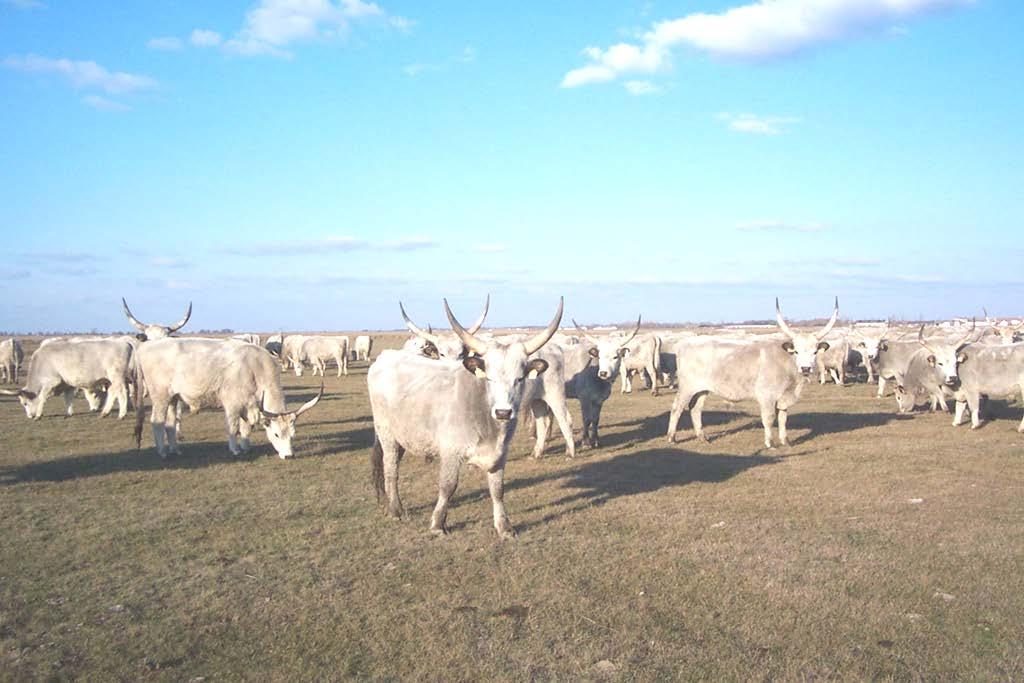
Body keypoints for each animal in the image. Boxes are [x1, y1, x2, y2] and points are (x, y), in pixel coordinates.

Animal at [0, 339, 134, 419]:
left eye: (25, 403)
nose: (29, 416)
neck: (41, 362)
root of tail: (124, 343)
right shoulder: (68, 384)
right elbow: (68, 398)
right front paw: (69, 413)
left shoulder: (50, 382)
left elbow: (42, 397)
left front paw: (38, 415)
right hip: (113, 379)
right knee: (114, 392)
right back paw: (105, 413)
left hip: (116, 377)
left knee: (121, 392)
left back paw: (121, 414)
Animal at [134, 335, 321, 458]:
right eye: (276, 434)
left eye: (293, 434)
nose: (289, 455)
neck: (255, 367)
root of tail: (145, 347)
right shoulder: (232, 404)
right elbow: (233, 426)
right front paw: (235, 449)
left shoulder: (249, 404)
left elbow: (246, 427)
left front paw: (246, 446)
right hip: (161, 397)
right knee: (157, 422)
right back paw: (162, 452)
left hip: (173, 398)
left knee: (170, 424)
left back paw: (175, 449)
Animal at [366, 296, 561, 540]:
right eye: (489, 378)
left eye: (519, 378)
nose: (503, 412)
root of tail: (386, 356)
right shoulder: (450, 450)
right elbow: (448, 485)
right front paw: (438, 524)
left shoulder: (500, 454)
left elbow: (498, 489)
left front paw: (504, 526)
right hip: (386, 434)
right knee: (390, 469)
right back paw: (395, 510)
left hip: (404, 434)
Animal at [561, 317, 638, 448]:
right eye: (600, 356)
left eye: (615, 357)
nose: (603, 373)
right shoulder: (584, 399)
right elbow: (587, 419)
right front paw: (586, 442)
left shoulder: (599, 400)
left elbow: (595, 419)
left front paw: (596, 440)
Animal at [663, 296, 839, 448]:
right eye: (796, 351)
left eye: (815, 352)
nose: (805, 368)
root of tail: (685, 343)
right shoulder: (766, 396)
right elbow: (769, 418)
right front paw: (770, 443)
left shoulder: (783, 398)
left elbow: (783, 419)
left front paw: (785, 441)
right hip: (687, 387)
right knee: (677, 408)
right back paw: (671, 438)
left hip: (702, 389)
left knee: (695, 409)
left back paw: (702, 437)